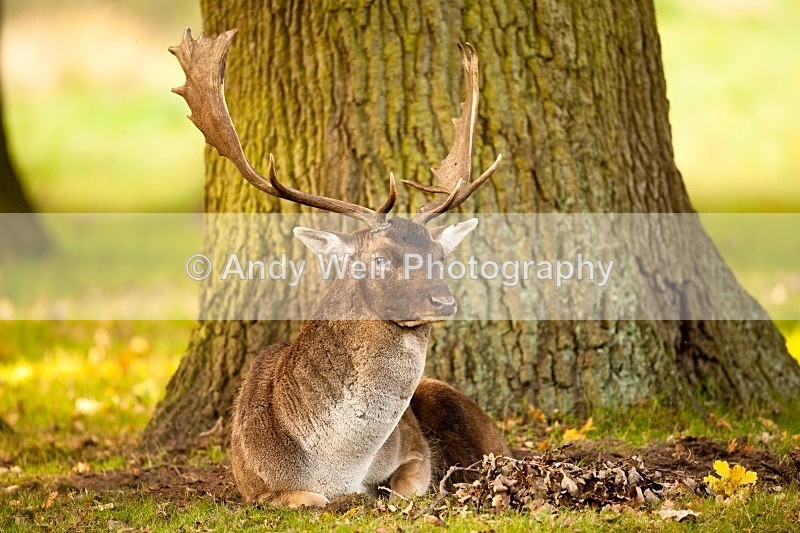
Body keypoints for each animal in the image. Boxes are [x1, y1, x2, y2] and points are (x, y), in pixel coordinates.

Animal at [170, 28, 510, 508]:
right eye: (381, 258)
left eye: (440, 257)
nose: (444, 301)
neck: (338, 465)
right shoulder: (253, 483)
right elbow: (310, 499)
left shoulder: (416, 452)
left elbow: (402, 490)